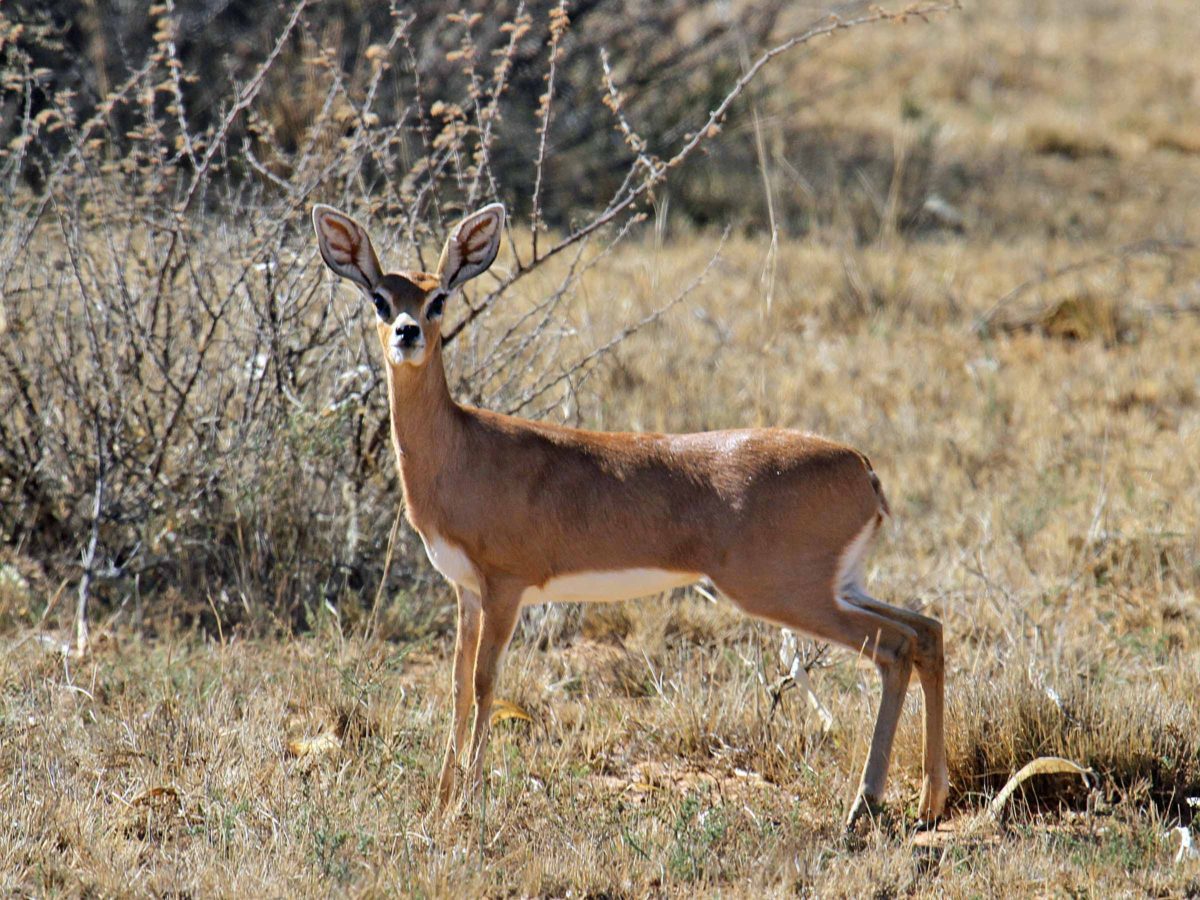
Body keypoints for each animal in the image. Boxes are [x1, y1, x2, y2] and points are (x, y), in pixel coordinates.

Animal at [309, 200, 945, 830]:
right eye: (380, 297)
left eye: (438, 297)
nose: (407, 333)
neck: (462, 448)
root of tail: (861, 467)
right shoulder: (466, 591)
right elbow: (459, 685)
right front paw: (441, 803)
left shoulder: (505, 587)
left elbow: (487, 683)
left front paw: (465, 804)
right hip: (840, 585)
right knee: (925, 631)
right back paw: (925, 803)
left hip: (784, 591)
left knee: (892, 648)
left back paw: (865, 805)